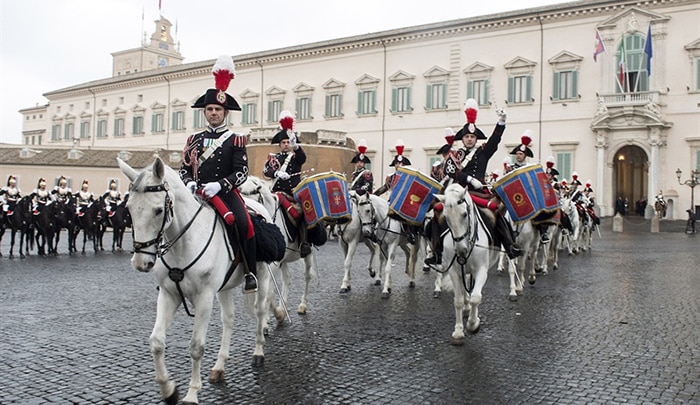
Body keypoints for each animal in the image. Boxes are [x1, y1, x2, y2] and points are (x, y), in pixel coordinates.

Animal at [119, 157, 272, 404]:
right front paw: (169, 390)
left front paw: (191, 394)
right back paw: (219, 367)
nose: (141, 262)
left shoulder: (204, 298)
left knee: (260, 311)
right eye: (129, 208)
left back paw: (258, 352)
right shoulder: (169, 295)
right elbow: (156, 342)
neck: (185, 242)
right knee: (229, 319)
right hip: (224, 288)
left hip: (263, 275)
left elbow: (196, 347)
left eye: (158, 210)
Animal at [241, 175, 318, 320]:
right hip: (284, 260)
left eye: (253, 193)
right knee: (287, 279)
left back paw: (302, 305)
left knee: (307, 276)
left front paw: (273, 315)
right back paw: (282, 307)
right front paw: (274, 314)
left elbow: (269, 291)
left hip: (308, 254)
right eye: (239, 193)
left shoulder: (274, 264)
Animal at [434, 183, 500, 340]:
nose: (461, 250)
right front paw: (458, 330)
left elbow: (476, 297)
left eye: (464, 214)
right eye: (446, 217)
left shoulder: (481, 270)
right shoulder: (454, 271)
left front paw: (473, 324)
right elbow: (458, 300)